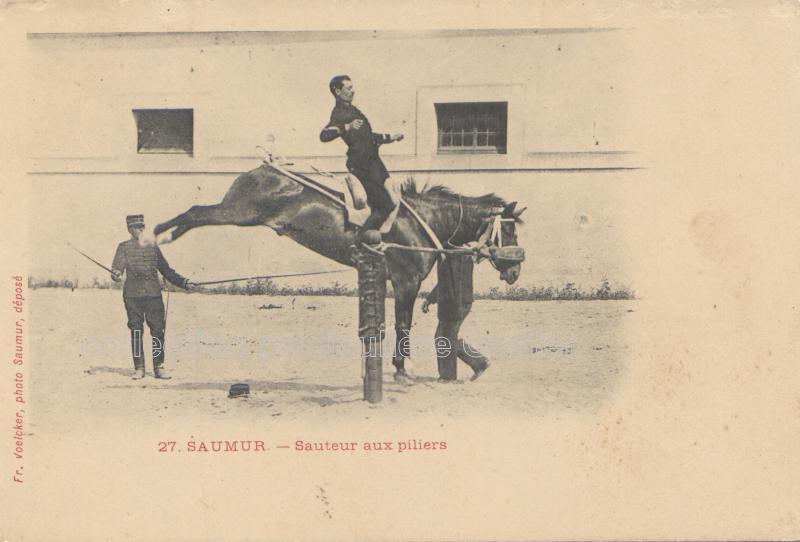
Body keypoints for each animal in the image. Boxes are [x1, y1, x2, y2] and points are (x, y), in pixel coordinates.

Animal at [154, 162, 526, 383]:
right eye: (508, 229)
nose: (515, 271)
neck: (418, 221)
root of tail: (261, 169)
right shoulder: (406, 283)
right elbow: (403, 326)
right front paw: (402, 369)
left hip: (239, 213)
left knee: (197, 213)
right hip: (240, 212)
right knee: (196, 212)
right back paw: (158, 233)